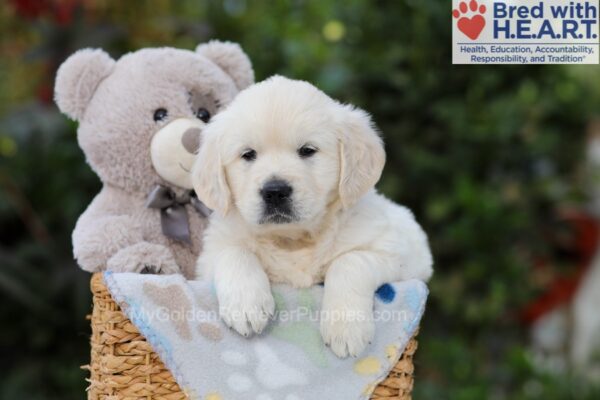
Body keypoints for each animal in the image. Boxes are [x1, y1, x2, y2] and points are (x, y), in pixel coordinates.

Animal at [192, 76, 432, 358]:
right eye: (248, 154)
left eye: (307, 150)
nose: (275, 191)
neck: (293, 239)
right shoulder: (208, 259)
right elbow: (234, 253)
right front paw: (246, 306)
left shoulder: (400, 255)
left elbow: (349, 261)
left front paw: (346, 328)